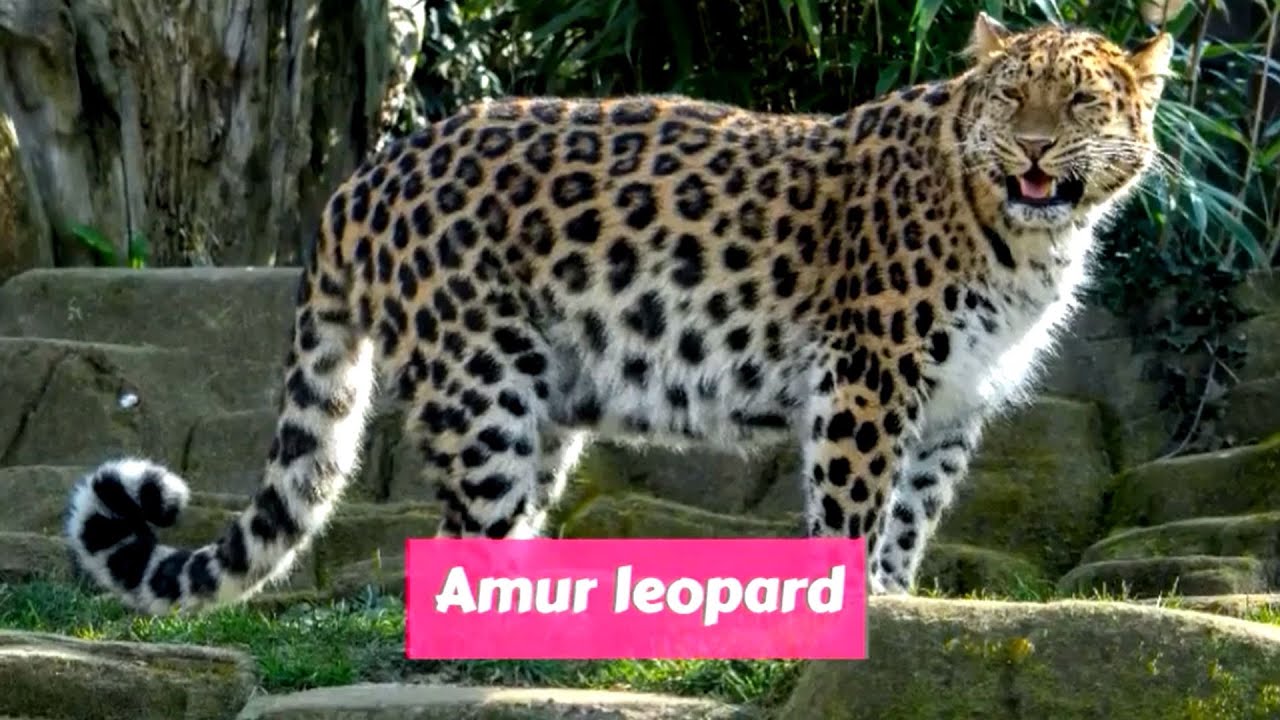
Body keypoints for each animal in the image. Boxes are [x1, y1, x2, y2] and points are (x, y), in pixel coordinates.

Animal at [64, 13, 1172, 614]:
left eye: (1080, 105)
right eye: (1011, 98)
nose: (1033, 150)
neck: (1026, 238)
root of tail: (365, 176)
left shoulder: (949, 404)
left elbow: (909, 517)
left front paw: (897, 612)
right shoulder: (867, 377)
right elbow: (853, 513)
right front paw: (851, 619)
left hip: (540, 396)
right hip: (482, 388)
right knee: (464, 537)